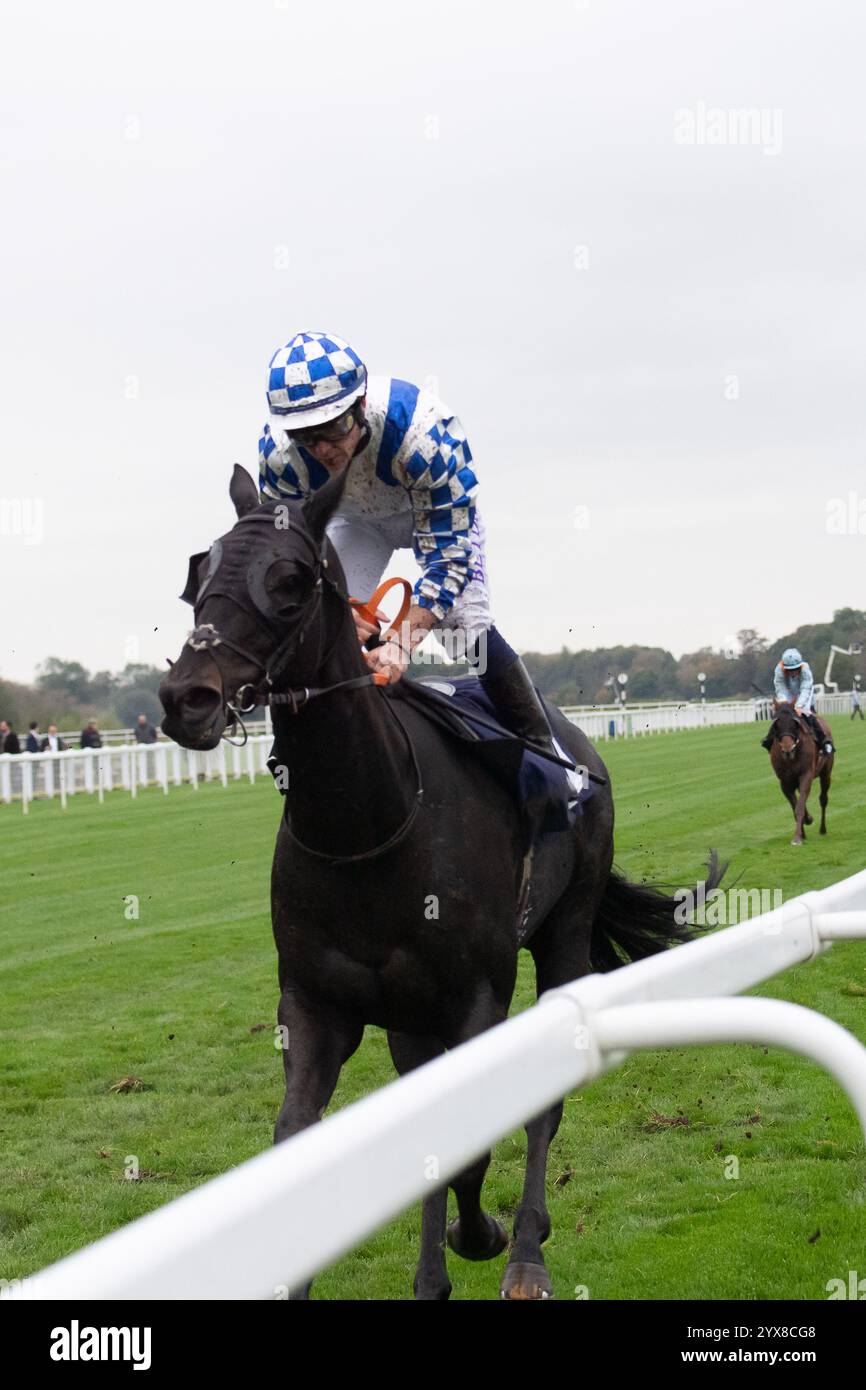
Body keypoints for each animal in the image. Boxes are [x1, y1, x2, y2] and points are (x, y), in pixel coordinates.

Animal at [159, 461, 708, 1295]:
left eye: (289, 581)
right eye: (199, 575)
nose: (186, 699)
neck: (369, 826)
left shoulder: (476, 999)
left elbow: (471, 1143)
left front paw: (481, 1235)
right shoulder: (316, 1003)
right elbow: (300, 1136)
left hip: (564, 935)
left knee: (542, 1098)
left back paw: (525, 1248)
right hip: (411, 1020)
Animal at [772, 700, 834, 839]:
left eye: (794, 723)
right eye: (776, 724)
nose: (787, 749)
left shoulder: (806, 775)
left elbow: (799, 807)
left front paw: (797, 837)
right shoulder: (784, 781)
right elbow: (795, 806)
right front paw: (803, 829)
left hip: (826, 773)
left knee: (823, 799)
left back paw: (823, 829)